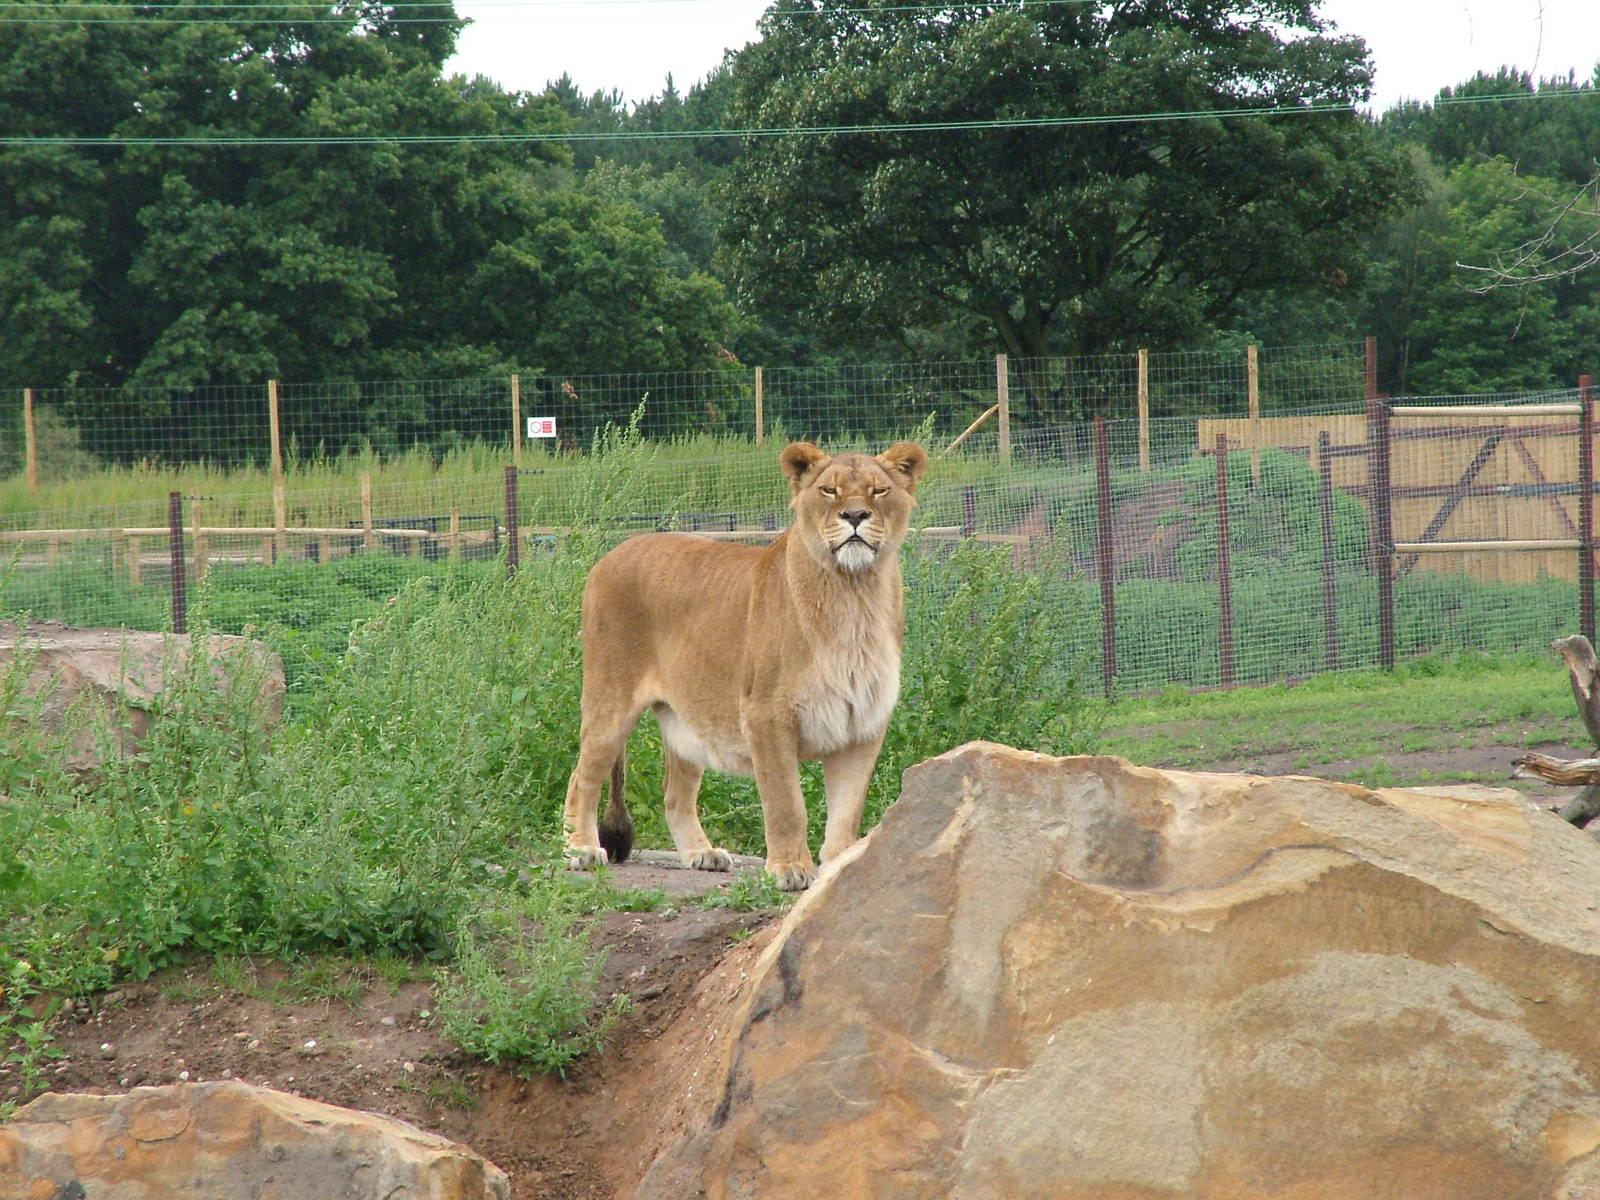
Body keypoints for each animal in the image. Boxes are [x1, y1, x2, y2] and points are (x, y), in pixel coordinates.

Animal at [563, 440, 929, 891]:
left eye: (879, 491)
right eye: (829, 491)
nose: (856, 515)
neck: (854, 593)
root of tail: (612, 552)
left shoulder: (862, 724)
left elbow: (847, 813)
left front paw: (842, 868)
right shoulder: (765, 716)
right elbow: (786, 801)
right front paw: (790, 869)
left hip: (686, 721)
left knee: (674, 794)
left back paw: (701, 854)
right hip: (610, 702)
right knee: (582, 777)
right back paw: (581, 849)